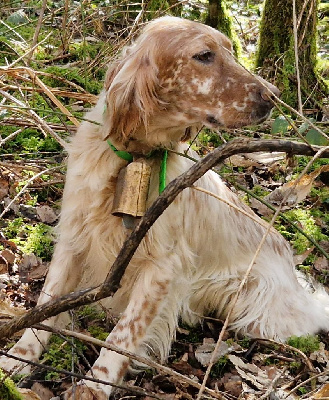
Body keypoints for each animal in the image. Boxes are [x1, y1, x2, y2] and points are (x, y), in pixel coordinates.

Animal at [2, 16, 328, 400]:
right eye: (204, 55)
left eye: (229, 50)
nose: (273, 95)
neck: (135, 158)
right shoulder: (73, 239)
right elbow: (45, 305)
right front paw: (18, 358)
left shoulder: (161, 266)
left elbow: (123, 333)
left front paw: (94, 385)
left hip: (260, 309)